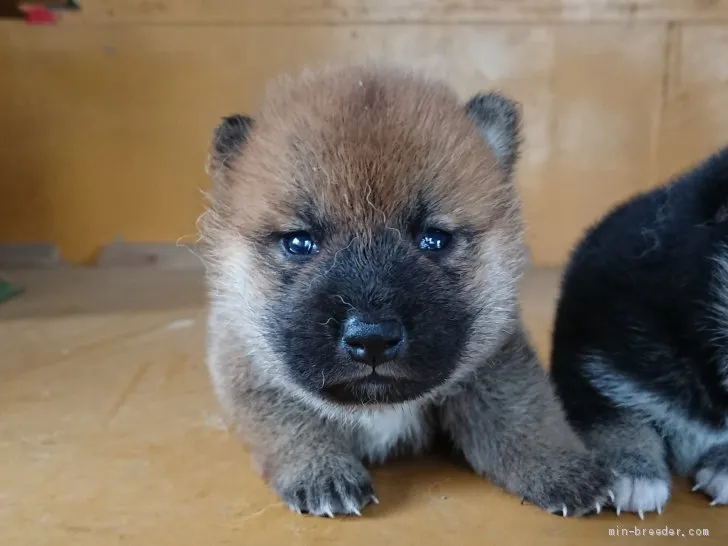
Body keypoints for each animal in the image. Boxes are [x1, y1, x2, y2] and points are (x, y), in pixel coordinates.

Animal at [198, 62, 608, 516]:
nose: (372, 339)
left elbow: (522, 414)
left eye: (434, 239)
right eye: (300, 243)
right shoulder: (248, 367)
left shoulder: (496, 359)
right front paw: (321, 471)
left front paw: (560, 467)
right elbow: (291, 422)